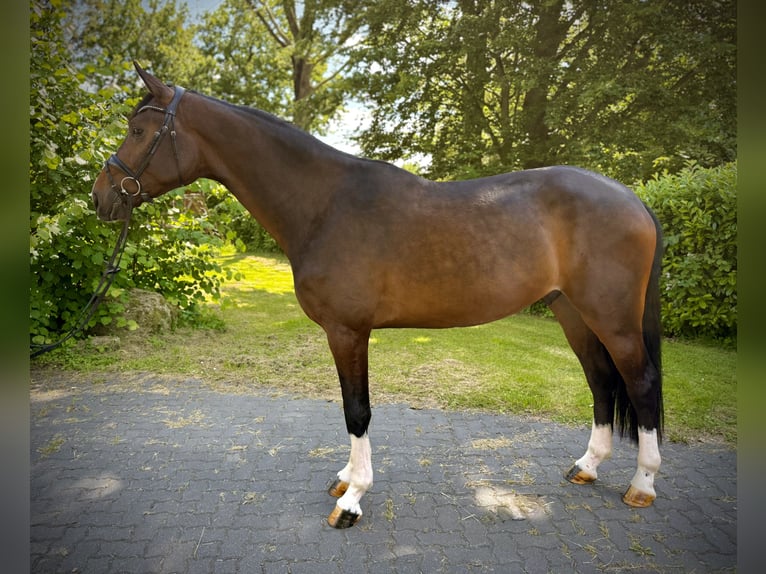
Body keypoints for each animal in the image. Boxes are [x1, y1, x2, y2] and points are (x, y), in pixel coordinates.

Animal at [91, 62, 664, 528]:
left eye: (139, 130)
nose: (100, 197)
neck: (326, 205)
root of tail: (633, 199)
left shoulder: (348, 331)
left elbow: (357, 411)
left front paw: (353, 500)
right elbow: (351, 408)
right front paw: (347, 478)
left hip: (611, 318)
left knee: (639, 383)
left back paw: (642, 485)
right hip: (573, 312)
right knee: (601, 383)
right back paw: (587, 467)